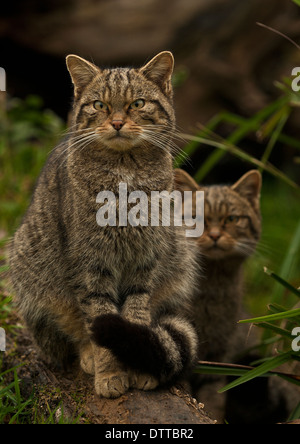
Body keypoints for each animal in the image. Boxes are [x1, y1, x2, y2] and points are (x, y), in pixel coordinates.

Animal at [8, 52, 198, 398]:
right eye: (100, 105)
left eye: (137, 103)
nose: (118, 122)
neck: (124, 178)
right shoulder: (90, 266)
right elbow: (99, 318)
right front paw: (110, 373)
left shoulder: (145, 262)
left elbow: (136, 317)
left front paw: (138, 366)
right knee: (71, 339)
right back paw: (89, 357)